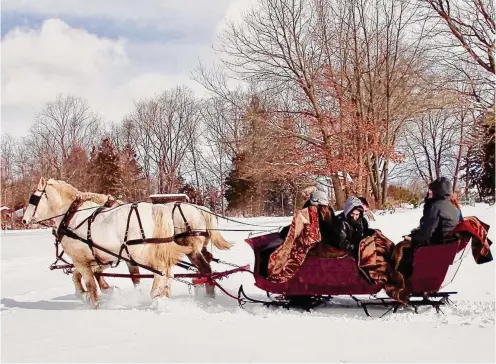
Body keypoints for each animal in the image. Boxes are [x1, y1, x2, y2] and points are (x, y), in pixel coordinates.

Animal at [22, 178, 190, 308]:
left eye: (33, 198)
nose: (23, 220)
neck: (71, 216)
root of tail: (156, 209)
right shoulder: (93, 259)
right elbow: (78, 276)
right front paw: (89, 294)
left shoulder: (80, 260)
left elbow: (90, 284)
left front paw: (93, 303)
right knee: (168, 271)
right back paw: (163, 296)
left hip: (141, 254)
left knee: (162, 271)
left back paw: (155, 293)